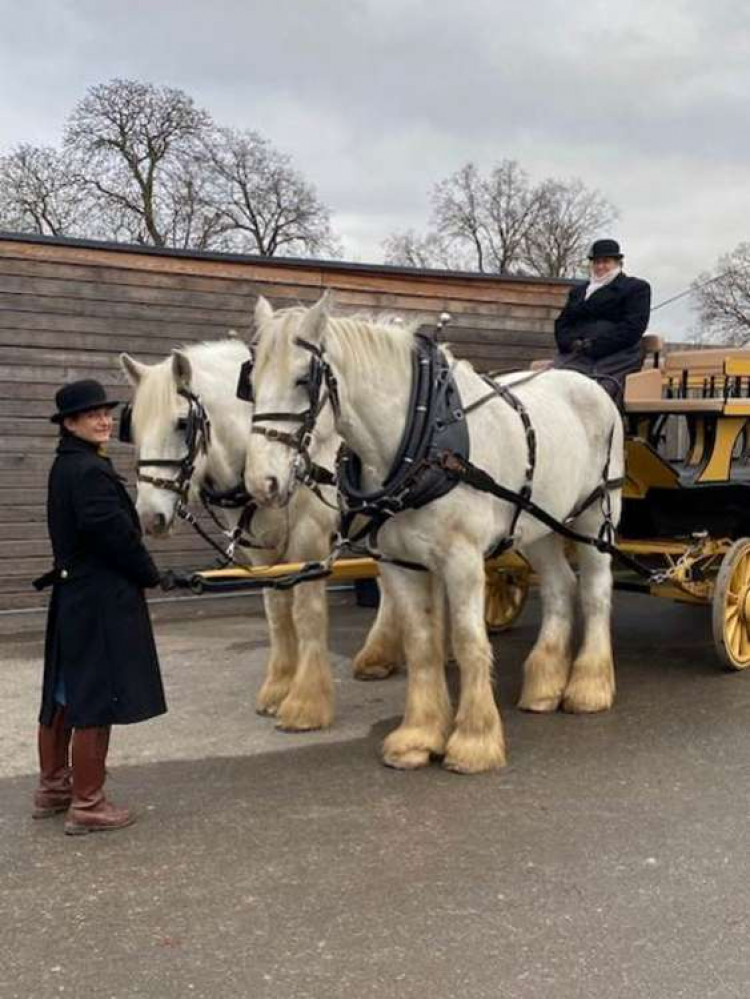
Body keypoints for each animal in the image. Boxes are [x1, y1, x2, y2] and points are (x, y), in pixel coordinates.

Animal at [118, 340, 400, 732]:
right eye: (134, 428)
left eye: (182, 423)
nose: (149, 517)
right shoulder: (265, 553)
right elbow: (277, 615)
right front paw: (278, 688)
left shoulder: (310, 541)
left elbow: (306, 614)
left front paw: (305, 703)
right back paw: (379, 657)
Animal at [245, 292, 624, 776]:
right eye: (250, 382)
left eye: (301, 379)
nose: (262, 482)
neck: (421, 440)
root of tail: (592, 385)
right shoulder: (399, 562)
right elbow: (421, 644)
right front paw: (418, 737)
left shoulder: (462, 560)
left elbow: (468, 641)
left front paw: (474, 741)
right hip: (539, 525)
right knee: (560, 587)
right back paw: (544, 686)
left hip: (596, 516)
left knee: (595, 590)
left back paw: (588, 686)